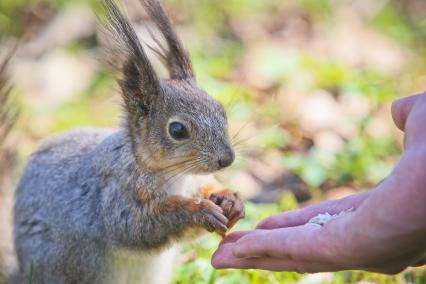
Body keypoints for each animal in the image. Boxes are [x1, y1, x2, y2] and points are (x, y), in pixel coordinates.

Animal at [4, 0, 243, 282]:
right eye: (177, 129)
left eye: (221, 109)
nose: (227, 159)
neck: (173, 174)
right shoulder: (116, 195)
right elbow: (138, 226)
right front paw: (198, 211)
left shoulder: (192, 181)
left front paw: (229, 199)